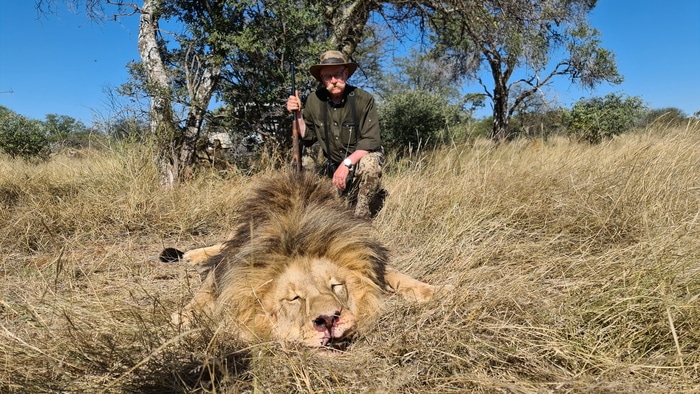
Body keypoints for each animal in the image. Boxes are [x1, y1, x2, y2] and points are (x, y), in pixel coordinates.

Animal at [161, 171, 434, 350]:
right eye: (294, 298)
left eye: (336, 285)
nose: (328, 320)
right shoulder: (228, 266)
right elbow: (205, 291)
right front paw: (184, 316)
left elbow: (397, 275)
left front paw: (434, 291)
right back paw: (191, 255)